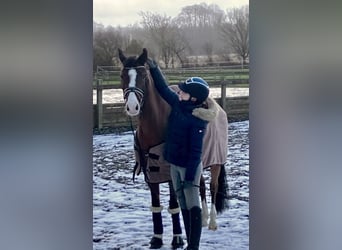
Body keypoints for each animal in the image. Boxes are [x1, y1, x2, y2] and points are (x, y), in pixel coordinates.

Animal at [118, 47, 230, 249]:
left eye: (144, 76)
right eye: (122, 75)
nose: (132, 107)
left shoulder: (171, 174)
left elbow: (173, 205)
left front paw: (177, 238)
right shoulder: (151, 174)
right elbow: (156, 204)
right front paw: (157, 238)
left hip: (216, 162)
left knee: (212, 187)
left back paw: (212, 222)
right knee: (201, 187)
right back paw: (202, 219)